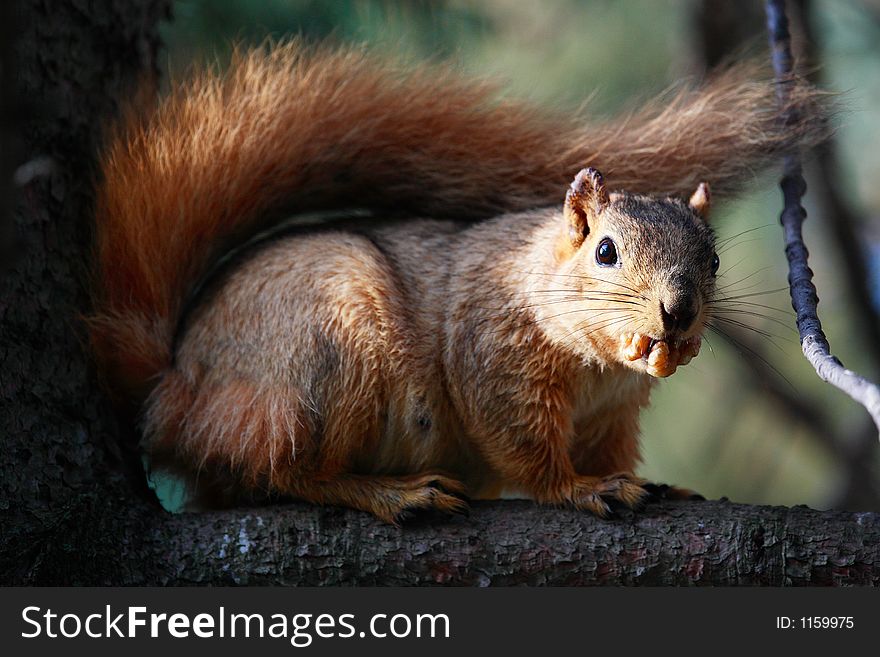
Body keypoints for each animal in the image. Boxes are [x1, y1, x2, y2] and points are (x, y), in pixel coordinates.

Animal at [86, 42, 828, 524]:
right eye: (606, 251)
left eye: (715, 262)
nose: (678, 312)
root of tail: (175, 384)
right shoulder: (495, 354)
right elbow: (523, 444)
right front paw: (581, 489)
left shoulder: (612, 416)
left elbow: (613, 450)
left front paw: (654, 479)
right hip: (325, 358)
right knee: (287, 471)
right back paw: (390, 494)